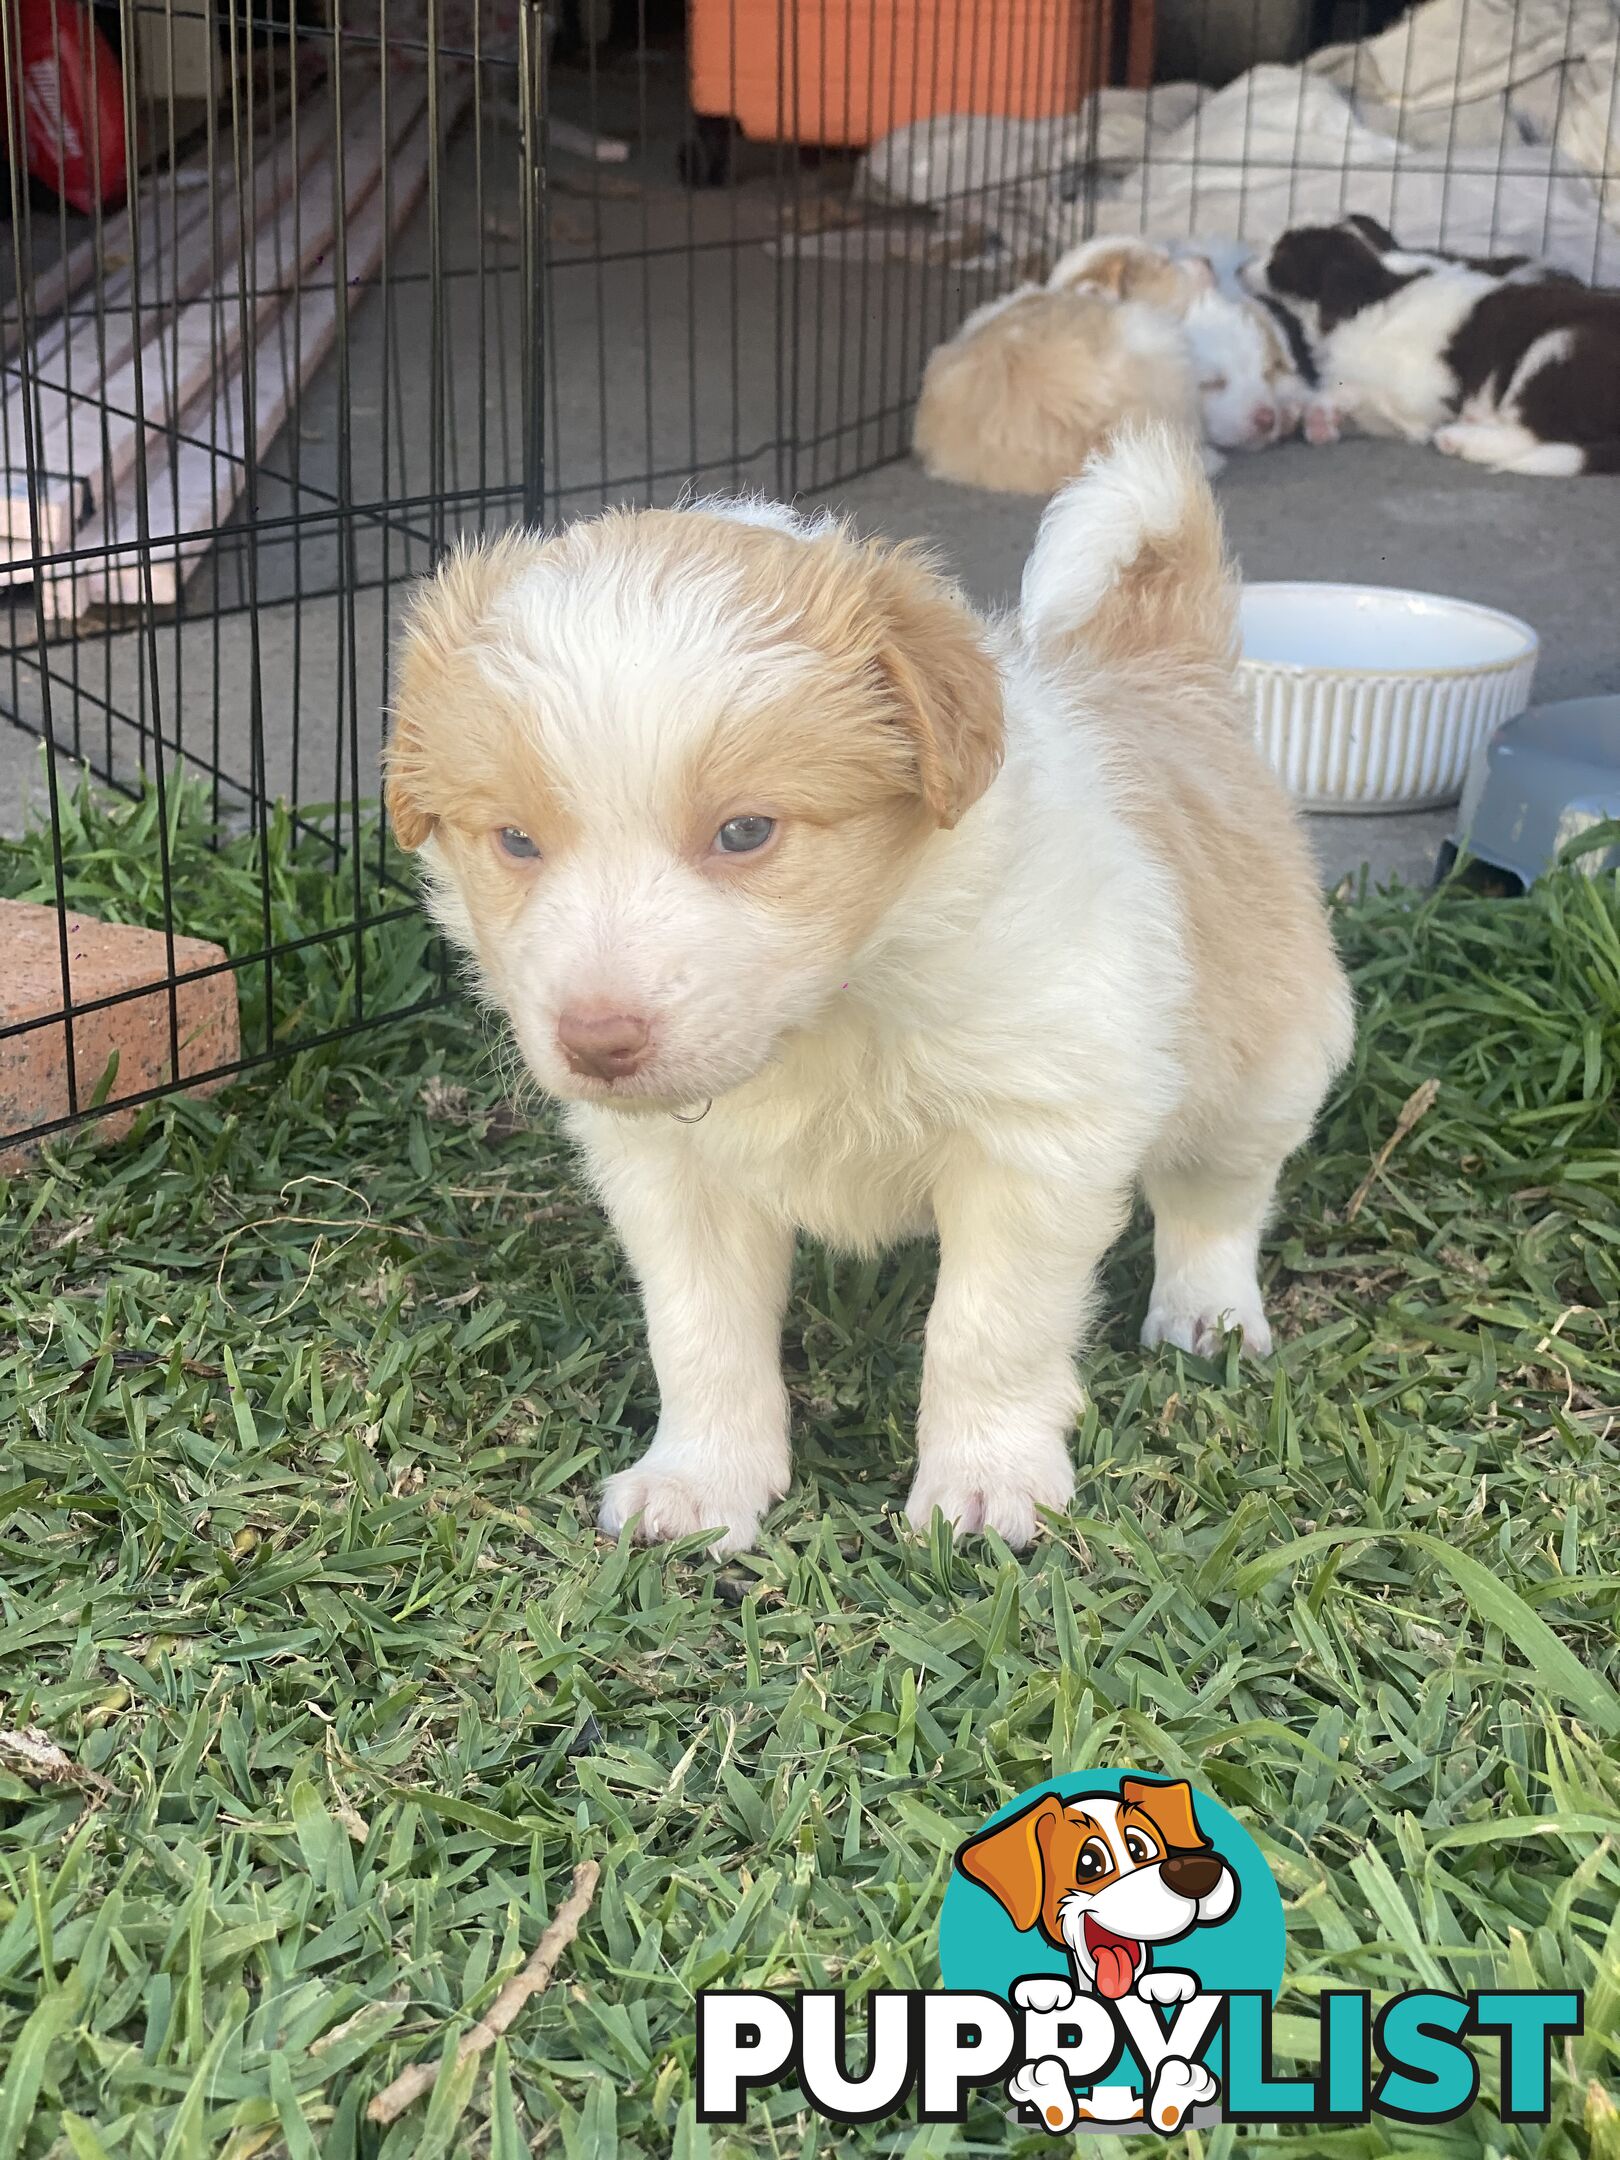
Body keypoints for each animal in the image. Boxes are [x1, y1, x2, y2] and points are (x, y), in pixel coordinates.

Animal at [384, 429, 1356, 1563]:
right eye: (515, 840)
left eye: (746, 832)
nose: (598, 1042)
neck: (834, 1006)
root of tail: (1166, 667)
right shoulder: (673, 1174)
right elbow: (700, 1333)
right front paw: (700, 1483)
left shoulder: (1038, 1136)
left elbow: (985, 1329)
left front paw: (986, 1485)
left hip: (1260, 1059)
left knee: (1218, 1199)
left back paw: (1207, 1316)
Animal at [1252, 213, 1615, 473]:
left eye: (1276, 258)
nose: (1242, 265)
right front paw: (1319, 421)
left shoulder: (1418, 393)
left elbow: (1347, 390)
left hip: (1556, 347)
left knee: (1533, 432)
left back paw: (1460, 438)